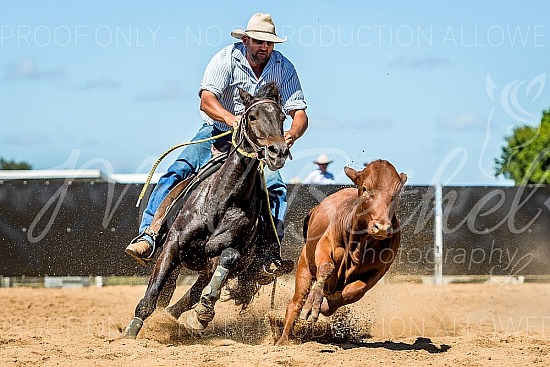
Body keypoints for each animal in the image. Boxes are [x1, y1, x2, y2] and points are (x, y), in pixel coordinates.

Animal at [123, 82, 292, 340]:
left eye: (282, 117)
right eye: (252, 116)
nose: (278, 152)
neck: (222, 200)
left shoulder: (226, 254)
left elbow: (227, 257)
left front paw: (203, 312)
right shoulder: (174, 244)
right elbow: (151, 294)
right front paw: (130, 333)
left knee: (189, 296)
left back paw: (189, 317)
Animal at [278, 160, 408, 344]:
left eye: (396, 193)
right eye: (365, 188)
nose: (382, 227)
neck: (360, 244)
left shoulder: (378, 271)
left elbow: (354, 291)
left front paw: (325, 306)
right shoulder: (326, 244)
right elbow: (327, 268)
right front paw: (313, 304)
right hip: (304, 264)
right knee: (295, 303)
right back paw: (283, 340)